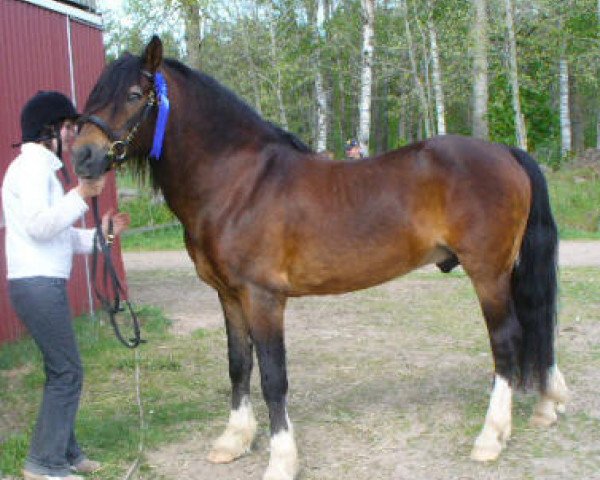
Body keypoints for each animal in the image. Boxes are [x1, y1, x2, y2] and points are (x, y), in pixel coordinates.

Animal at [71, 35, 568, 478]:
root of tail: (505, 151)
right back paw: (546, 404)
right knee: (535, 327)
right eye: (93, 95)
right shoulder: (229, 296)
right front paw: (234, 441)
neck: (237, 182)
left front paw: (281, 460)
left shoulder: (264, 297)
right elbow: (238, 365)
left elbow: (273, 377)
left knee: (507, 340)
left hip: (488, 273)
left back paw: (491, 437)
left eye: (135, 95)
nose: (83, 157)